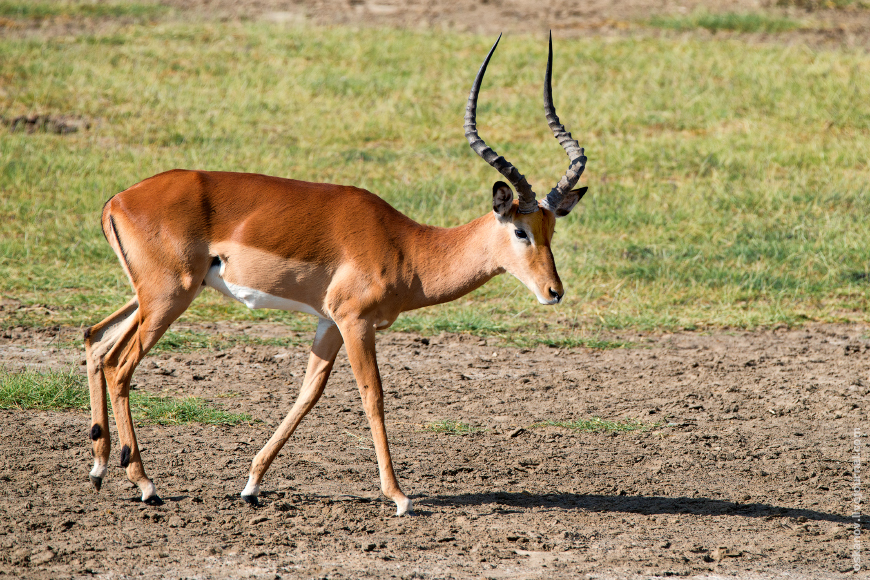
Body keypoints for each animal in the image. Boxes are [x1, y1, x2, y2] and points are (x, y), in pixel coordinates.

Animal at [83, 35, 584, 516]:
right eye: (520, 230)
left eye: (552, 228)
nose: (554, 291)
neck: (407, 247)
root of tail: (117, 200)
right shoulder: (355, 321)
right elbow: (373, 396)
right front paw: (399, 496)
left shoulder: (328, 322)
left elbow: (308, 393)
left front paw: (251, 485)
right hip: (171, 296)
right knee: (119, 364)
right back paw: (145, 485)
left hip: (150, 296)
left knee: (96, 339)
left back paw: (99, 469)